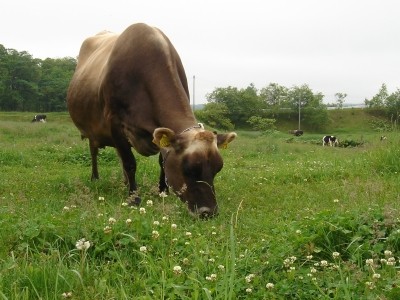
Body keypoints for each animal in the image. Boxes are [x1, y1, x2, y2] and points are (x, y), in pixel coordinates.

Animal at [67, 22, 236, 217]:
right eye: (188, 168)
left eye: (218, 168)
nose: (208, 212)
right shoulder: (115, 123)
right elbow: (130, 163)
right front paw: (133, 198)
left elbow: (162, 162)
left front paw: (163, 191)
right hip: (92, 130)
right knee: (94, 151)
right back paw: (95, 177)